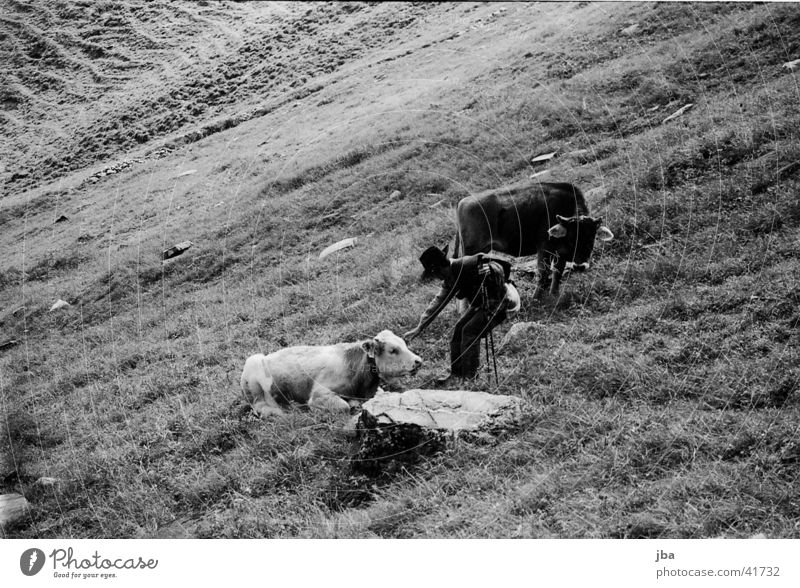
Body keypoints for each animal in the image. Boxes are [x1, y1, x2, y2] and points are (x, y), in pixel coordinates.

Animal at [239, 330, 422, 418]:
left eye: (404, 343)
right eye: (393, 350)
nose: (418, 361)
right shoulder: (319, 395)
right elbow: (343, 406)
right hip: (254, 381)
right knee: (261, 407)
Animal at [454, 180, 616, 298]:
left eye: (591, 238)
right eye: (571, 238)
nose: (580, 266)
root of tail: (463, 202)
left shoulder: (560, 253)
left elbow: (557, 272)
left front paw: (554, 294)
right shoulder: (544, 247)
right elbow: (543, 273)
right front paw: (536, 297)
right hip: (471, 251)